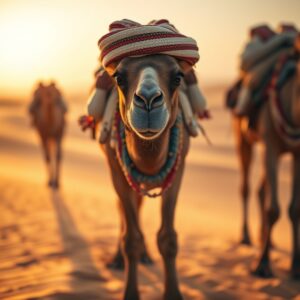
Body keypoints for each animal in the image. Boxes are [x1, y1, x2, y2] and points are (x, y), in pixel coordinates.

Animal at [101, 54, 190, 300]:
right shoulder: (117, 171)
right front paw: (130, 292)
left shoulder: (178, 169)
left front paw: (173, 293)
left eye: (178, 77)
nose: (148, 100)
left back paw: (146, 256)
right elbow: (131, 239)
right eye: (119, 77)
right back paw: (117, 259)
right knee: (123, 210)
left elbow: (168, 238)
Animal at [232, 54, 300, 278]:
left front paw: (295, 267)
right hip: (243, 136)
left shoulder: (298, 153)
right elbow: (273, 209)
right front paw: (262, 265)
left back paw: (267, 241)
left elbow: (295, 208)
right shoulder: (270, 143)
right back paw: (246, 236)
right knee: (246, 187)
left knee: (262, 189)